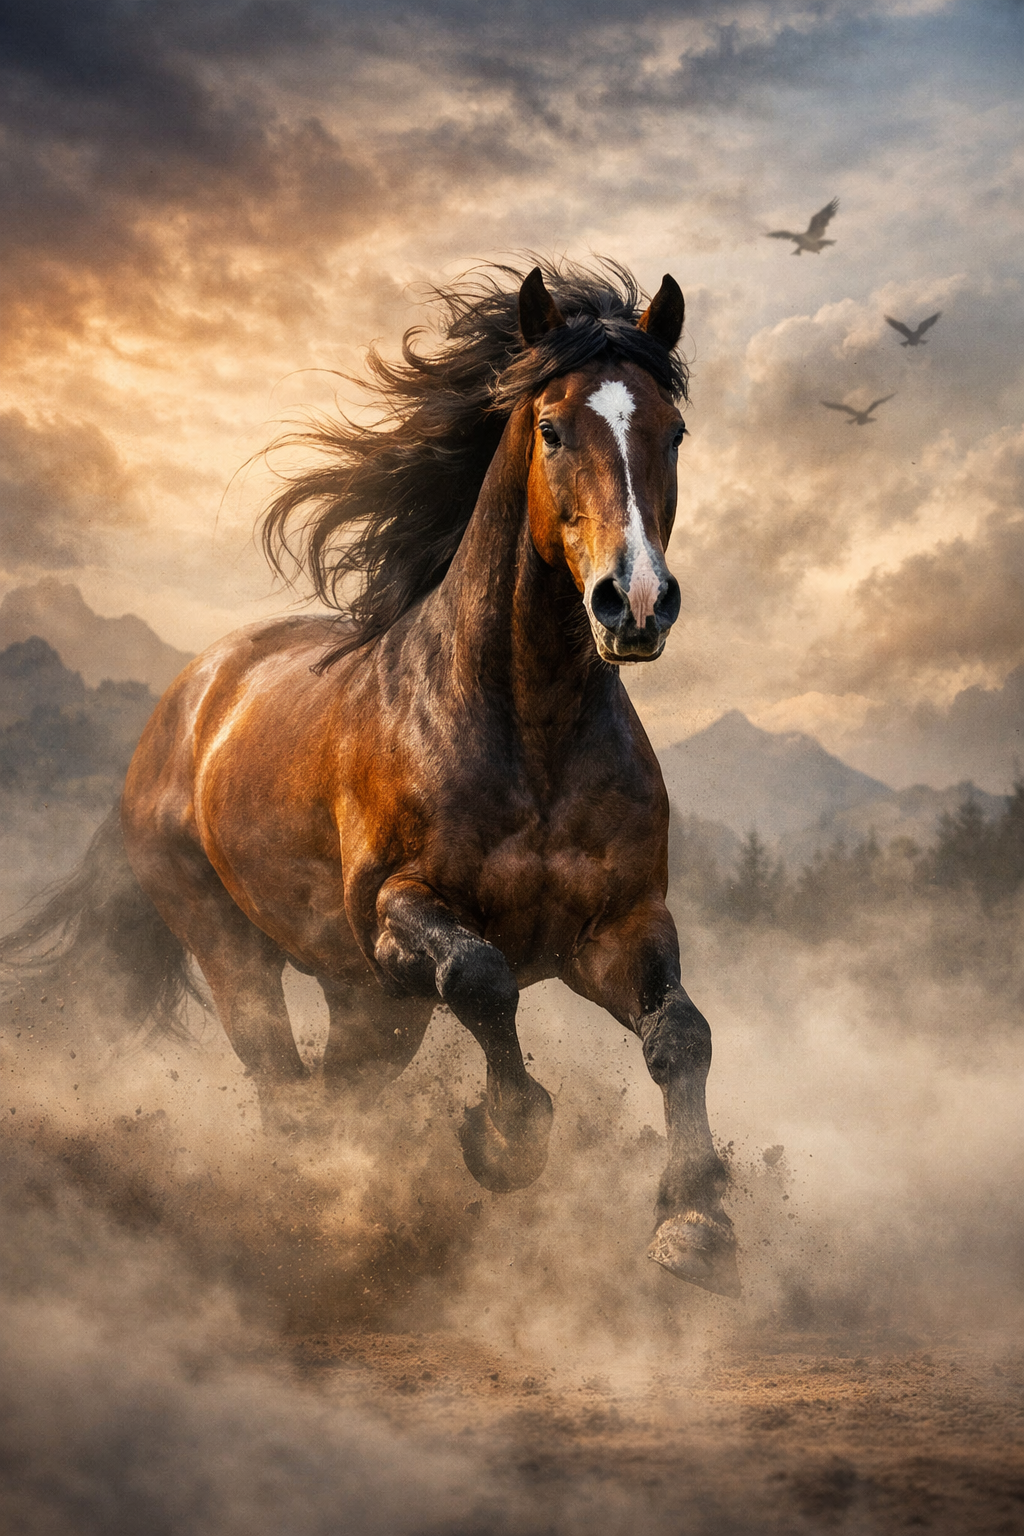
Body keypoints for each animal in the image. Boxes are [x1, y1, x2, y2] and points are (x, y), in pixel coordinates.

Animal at [11, 261, 739, 1298]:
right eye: (552, 429)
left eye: (671, 432)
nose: (634, 603)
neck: (531, 735)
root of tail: (183, 706)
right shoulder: (396, 916)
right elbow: (482, 978)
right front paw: (506, 1138)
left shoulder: (616, 927)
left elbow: (681, 1034)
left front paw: (695, 1222)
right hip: (236, 952)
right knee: (286, 1093)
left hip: (368, 1005)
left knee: (332, 1100)